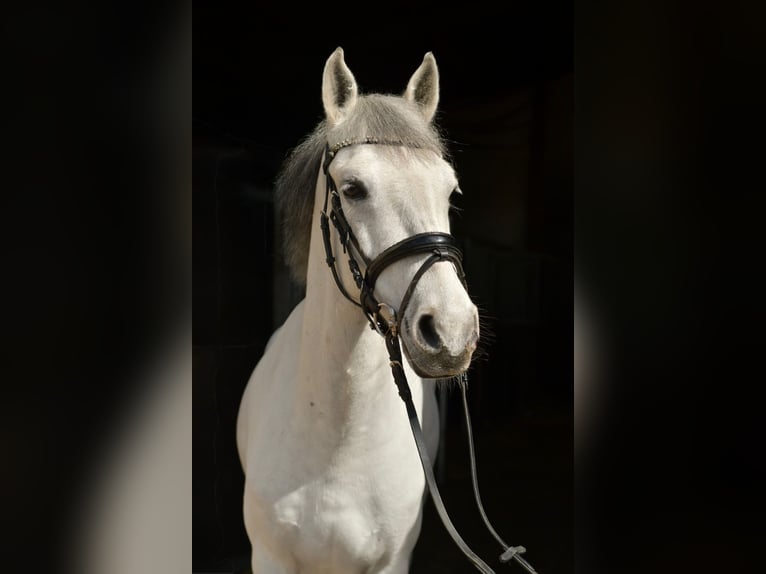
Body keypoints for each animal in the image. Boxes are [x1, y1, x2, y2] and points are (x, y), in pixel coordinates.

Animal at [236, 47, 479, 574]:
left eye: (451, 191)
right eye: (352, 189)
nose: (451, 331)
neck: (338, 445)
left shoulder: (392, 560)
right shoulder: (269, 556)